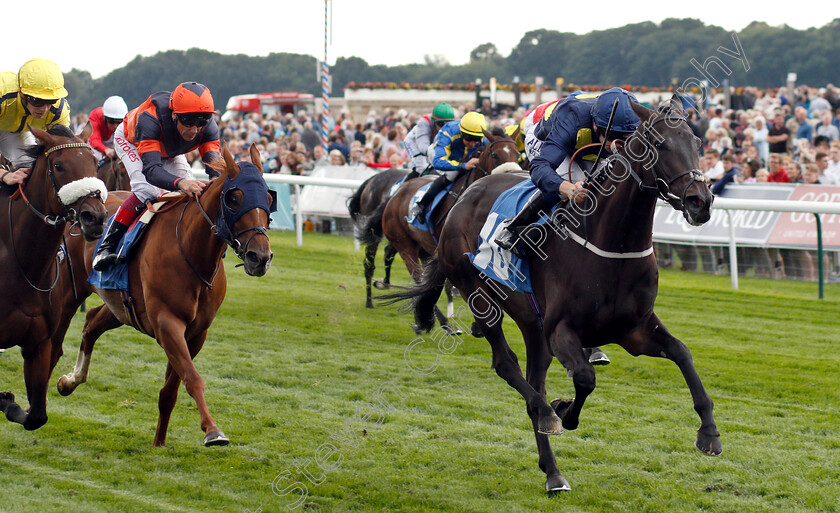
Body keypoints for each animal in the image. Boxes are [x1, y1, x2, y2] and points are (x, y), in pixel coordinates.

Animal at [0, 126, 109, 430]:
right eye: (59, 166)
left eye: (95, 163)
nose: (95, 217)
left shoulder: (38, 342)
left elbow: (36, 415)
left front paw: (9, 401)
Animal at [52, 143, 274, 444]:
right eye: (235, 198)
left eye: (268, 196)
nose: (259, 257)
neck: (192, 252)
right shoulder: (167, 324)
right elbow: (193, 378)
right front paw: (213, 431)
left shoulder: (196, 333)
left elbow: (170, 391)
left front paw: (159, 443)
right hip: (69, 292)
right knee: (53, 340)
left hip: (120, 308)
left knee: (92, 322)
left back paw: (70, 380)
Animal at [388, 97, 720, 492]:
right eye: (659, 144)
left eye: (697, 142)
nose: (701, 201)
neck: (612, 243)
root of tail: (464, 198)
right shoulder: (561, 330)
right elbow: (585, 378)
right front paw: (564, 410)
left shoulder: (635, 329)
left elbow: (683, 354)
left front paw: (709, 433)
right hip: (480, 295)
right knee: (509, 368)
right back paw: (548, 415)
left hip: (532, 325)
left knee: (534, 384)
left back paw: (553, 472)